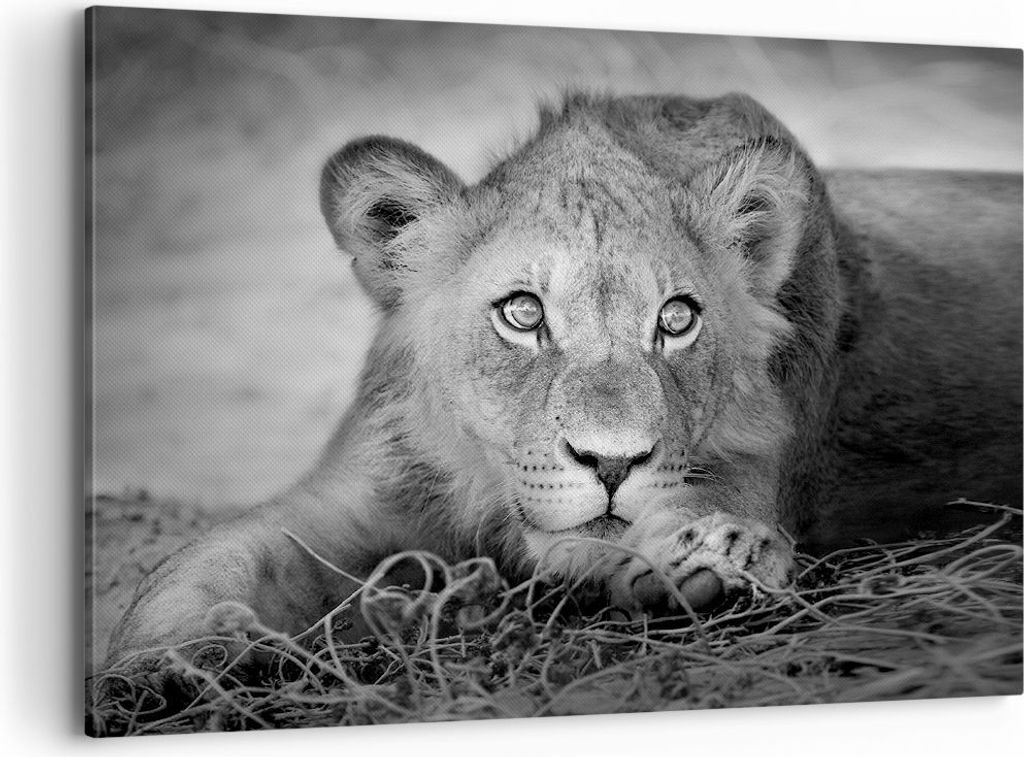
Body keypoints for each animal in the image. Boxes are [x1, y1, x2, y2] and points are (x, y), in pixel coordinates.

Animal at [106, 92, 1022, 664]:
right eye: (521, 312)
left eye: (676, 319)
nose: (612, 463)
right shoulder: (356, 493)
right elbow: (206, 562)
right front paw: (161, 669)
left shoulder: (751, 465)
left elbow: (698, 513)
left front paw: (716, 559)